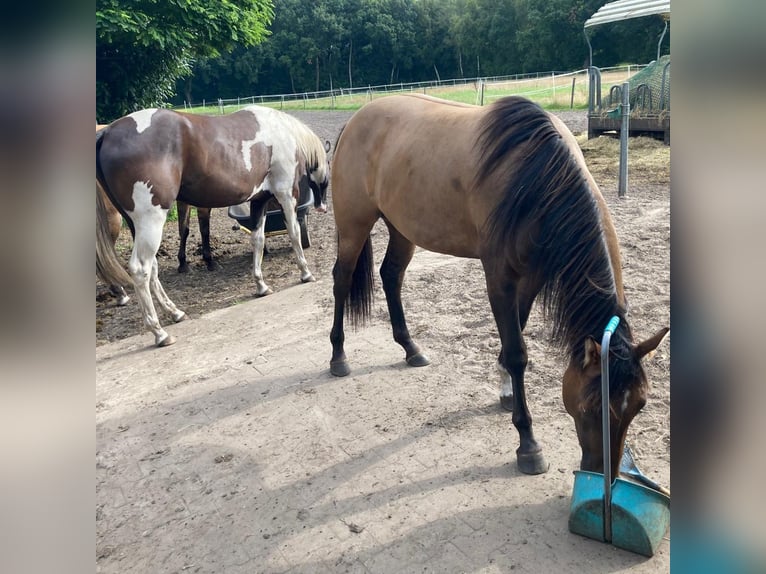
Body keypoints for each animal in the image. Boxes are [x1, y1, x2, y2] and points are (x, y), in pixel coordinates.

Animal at [95, 106, 330, 348]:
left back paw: (174, 313)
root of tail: (108, 132)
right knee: (140, 269)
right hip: (150, 221)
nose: (322, 206)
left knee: (152, 269)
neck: (281, 131)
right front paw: (305, 273)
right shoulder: (285, 194)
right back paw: (159, 332)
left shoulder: (259, 200)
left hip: (137, 224)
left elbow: (258, 240)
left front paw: (261, 285)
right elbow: (294, 233)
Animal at [330, 94, 672, 480]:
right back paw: (338, 356)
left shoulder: (532, 276)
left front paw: (507, 391)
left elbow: (516, 334)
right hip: (354, 225)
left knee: (391, 276)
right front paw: (528, 443)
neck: (535, 178)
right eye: (590, 405)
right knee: (341, 280)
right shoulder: (498, 278)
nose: (602, 475)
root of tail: (355, 120)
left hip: (402, 228)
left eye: (639, 405)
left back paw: (410, 348)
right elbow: (517, 351)